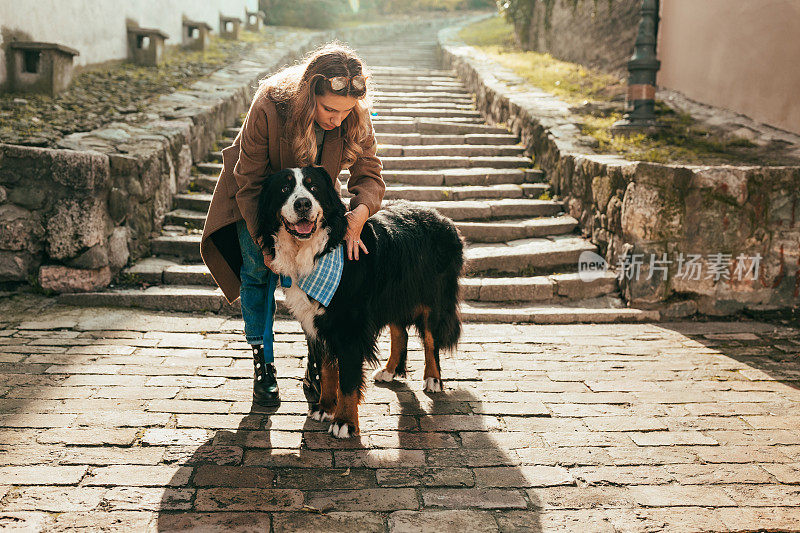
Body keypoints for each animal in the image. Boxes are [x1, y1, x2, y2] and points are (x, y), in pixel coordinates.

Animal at [256, 166, 462, 436]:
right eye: (284, 188)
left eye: (313, 187)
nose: (302, 203)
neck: (318, 250)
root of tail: (443, 218)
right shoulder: (318, 323)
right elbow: (327, 369)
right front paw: (324, 407)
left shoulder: (349, 325)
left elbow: (348, 379)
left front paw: (344, 422)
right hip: (392, 295)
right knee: (400, 332)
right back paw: (389, 370)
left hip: (433, 297)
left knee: (430, 339)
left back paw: (433, 379)